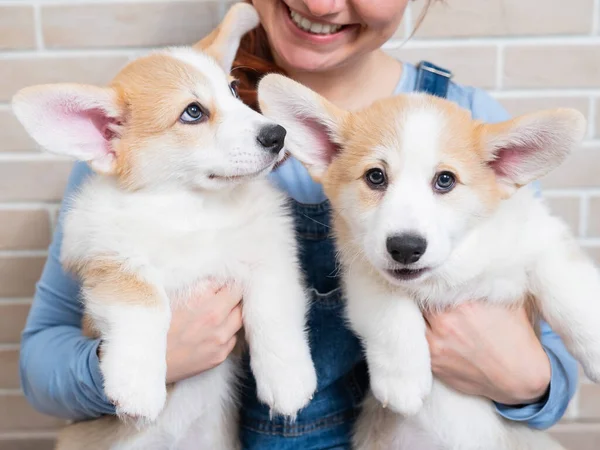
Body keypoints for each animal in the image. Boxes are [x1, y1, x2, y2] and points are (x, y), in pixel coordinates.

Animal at [258, 74, 600, 450]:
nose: (405, 248)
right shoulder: (362, 272)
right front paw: (403, 380)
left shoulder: (542, 238)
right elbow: (390, 312)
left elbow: (570, 292)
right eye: (375, 176)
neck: (452, 273)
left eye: (445, 180)